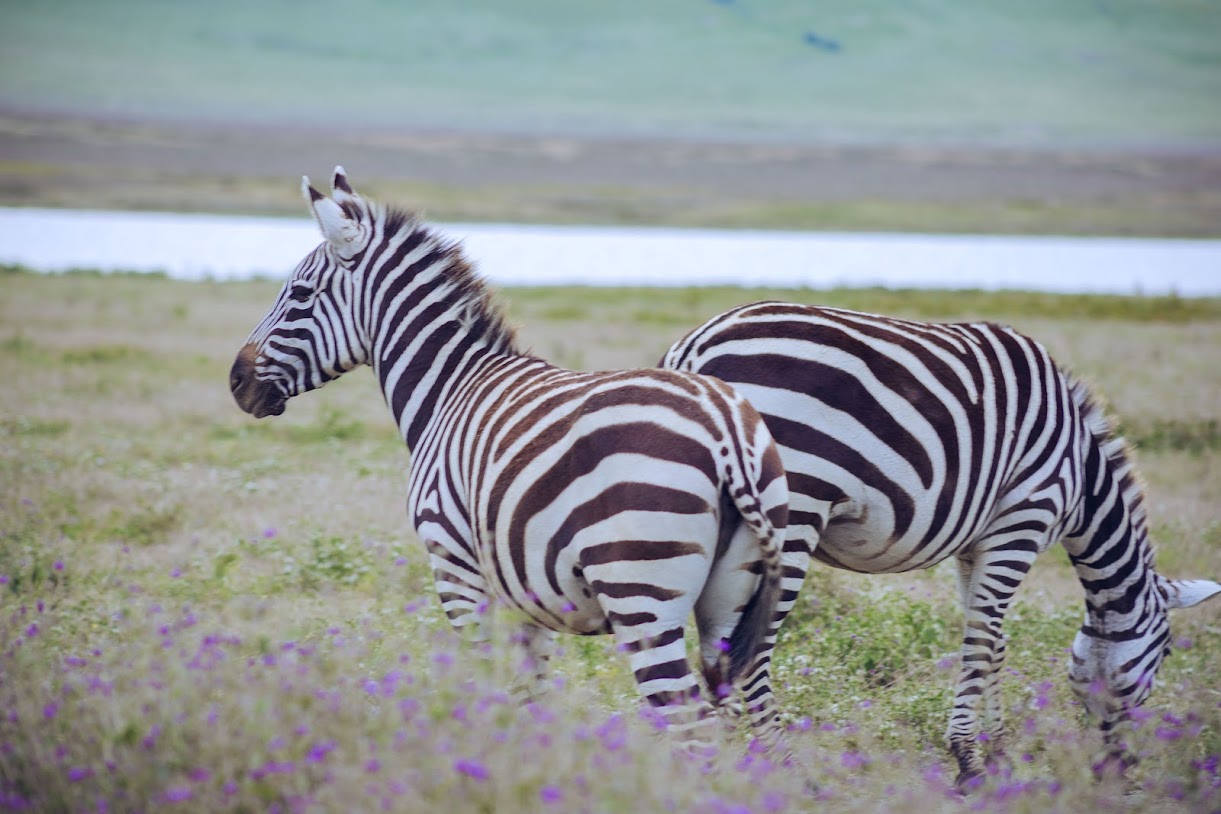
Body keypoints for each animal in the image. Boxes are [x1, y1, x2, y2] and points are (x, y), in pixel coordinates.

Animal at [229, 168, 800, 756]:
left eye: (299, 293)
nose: (236, 382)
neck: (449, 388)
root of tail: (726, 430)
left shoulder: (455, 566)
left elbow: (485, 688)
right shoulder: (528, 594)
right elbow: (530, 701)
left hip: (640, 593)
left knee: (691, 727)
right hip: (732, 600)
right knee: (748, 721)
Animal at [664, 302, 1216, 785]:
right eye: (1167, 654)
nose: (1117, 768)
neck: (1082, 477)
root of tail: (696, 344)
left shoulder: (975, 543)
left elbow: (995, 641)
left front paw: (998, 753)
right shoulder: (1023, 521)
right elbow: (981, 638)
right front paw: (970, 762)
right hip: (792, 511)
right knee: (749, 648)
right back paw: (780, 765)